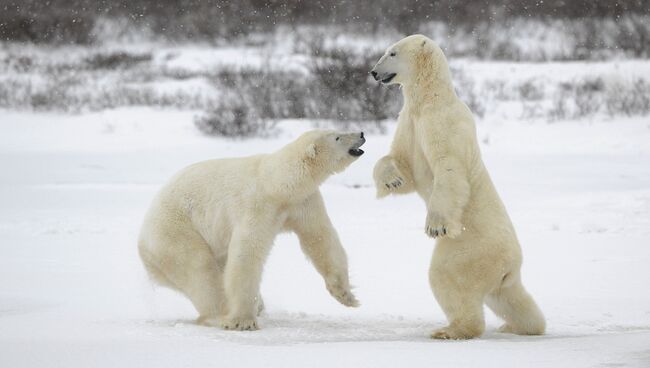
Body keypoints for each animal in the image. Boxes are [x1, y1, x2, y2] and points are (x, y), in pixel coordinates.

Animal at [138, 130, 364, 330]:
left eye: (338, 131)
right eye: (338, 137)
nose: (361, 134)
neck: (277, 184)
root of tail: (142, 243)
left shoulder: (303, 202)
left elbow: (321, 238)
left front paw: (347, 297)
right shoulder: (256, 205)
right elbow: (246, 254)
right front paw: (242, 321)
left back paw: (257, 306)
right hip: (174, 232)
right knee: (200, 269)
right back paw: (220, 315)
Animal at [370, 35, 540, 340]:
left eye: (392, 53)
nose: (374, 72)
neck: (429, 99)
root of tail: (511, 264)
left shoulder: (443, 123)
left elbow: (449, 168)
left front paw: (434, 225)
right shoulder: (409, 122)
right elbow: (402, 162)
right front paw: (392, 179)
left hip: (469, 249)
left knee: (447, 277)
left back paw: (451, 330)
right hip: (500, 274)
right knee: (510, 297)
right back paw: (521, 326)